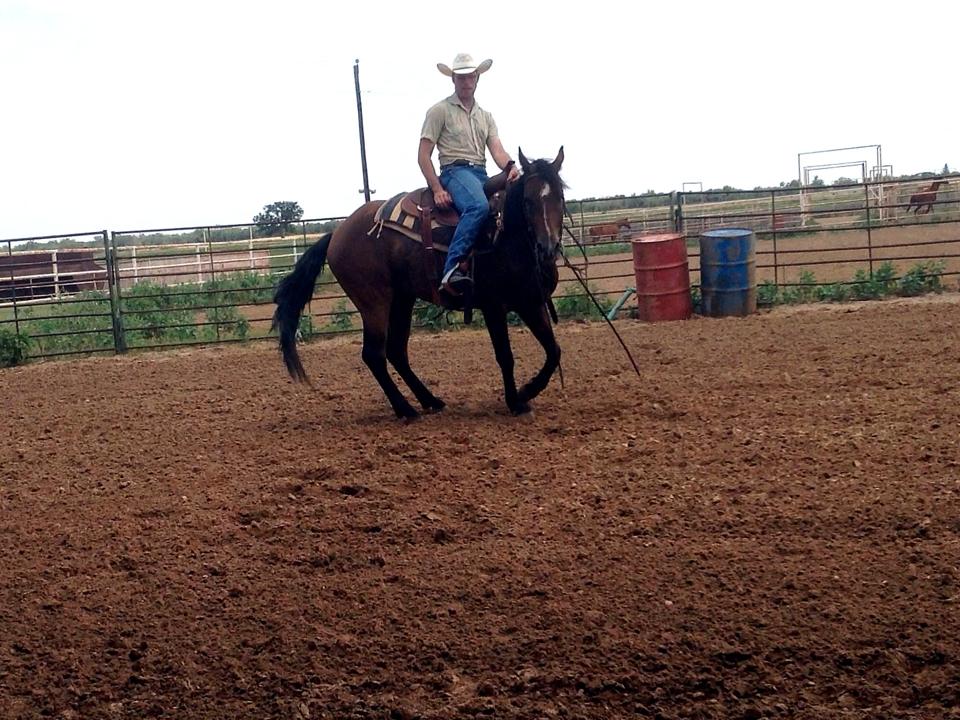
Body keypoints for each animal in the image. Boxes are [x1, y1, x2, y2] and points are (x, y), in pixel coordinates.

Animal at [274, 148, 568, 416]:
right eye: (527, 201)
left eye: (561, 197)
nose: (547, 248)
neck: (504, 236)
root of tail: (337, 233)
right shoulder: (493, 307)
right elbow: (505, 356)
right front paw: (516, 402)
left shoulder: (531, 303)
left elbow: (553, 350)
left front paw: (527, 391)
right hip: (373, 302)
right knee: (374, 354)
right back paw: (405, 409)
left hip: (402, 299)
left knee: (396, 351)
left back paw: (430, 400)